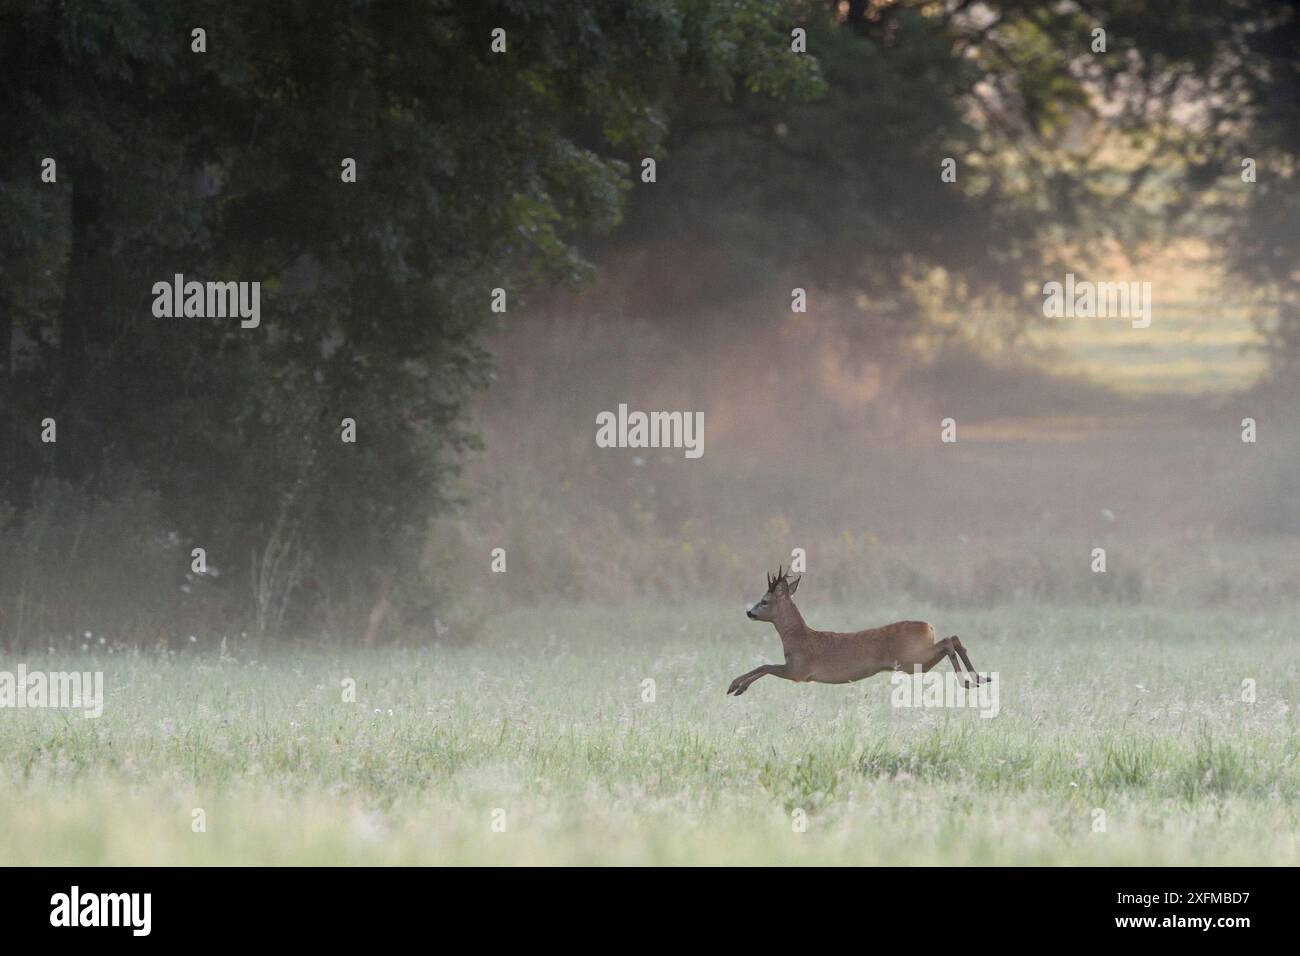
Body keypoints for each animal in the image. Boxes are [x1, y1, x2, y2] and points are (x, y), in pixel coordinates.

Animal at [722, 567, 982, 697]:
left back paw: (970, 681)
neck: (797, 637)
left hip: (911, 659)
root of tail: (928, 626)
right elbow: (764, 666)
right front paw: (737, 686)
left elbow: (765, 666)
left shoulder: (799, 670)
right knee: (953, 639)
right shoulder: (796, 669)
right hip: (916, 661)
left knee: (948, 641)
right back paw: (979, 678)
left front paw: (736, 686)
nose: (749, 612)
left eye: (764, 601)